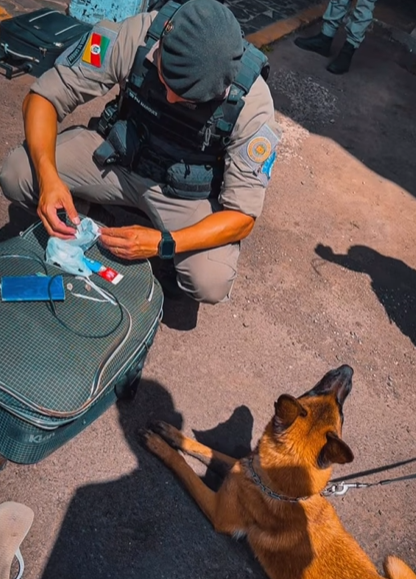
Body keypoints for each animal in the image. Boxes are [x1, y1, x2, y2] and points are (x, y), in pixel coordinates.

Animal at [141, 368, 416, 579]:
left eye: (341, 411)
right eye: (316, 392)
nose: (348, 369)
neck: (284, 492)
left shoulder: (217, 510)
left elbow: (184, 467)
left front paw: (160, 446)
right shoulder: (242, 466)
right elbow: (207, 450)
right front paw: (172, 434)